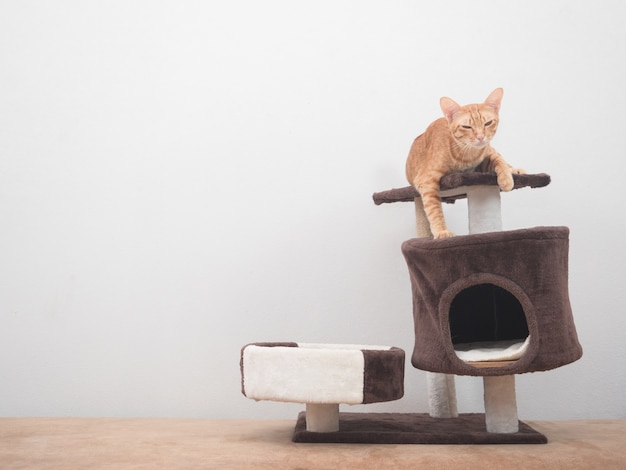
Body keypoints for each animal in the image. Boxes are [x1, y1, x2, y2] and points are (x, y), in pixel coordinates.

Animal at [404, 87, 520, 239]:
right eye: (467, 127)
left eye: (488, 123)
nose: (480, 137)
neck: (468, 155)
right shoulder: (426, 180)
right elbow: (434, 208)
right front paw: (441, 231)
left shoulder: (484, 157)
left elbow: (499, 159)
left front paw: (506, 179)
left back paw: (515, 170)